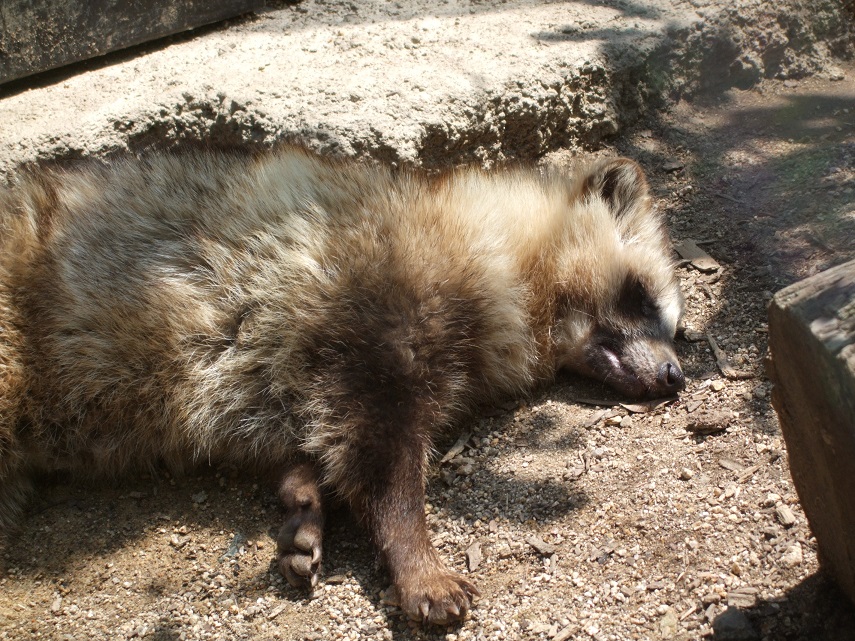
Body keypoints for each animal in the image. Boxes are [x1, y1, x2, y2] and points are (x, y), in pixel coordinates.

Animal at [0, 148, 684, 624]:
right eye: (640, 294)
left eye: (674, 324)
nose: (676, 374)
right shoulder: (367, 305)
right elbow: (378, 452)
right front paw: (417, 560)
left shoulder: (278, 372)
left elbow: (302, 434)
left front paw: (305, 500)